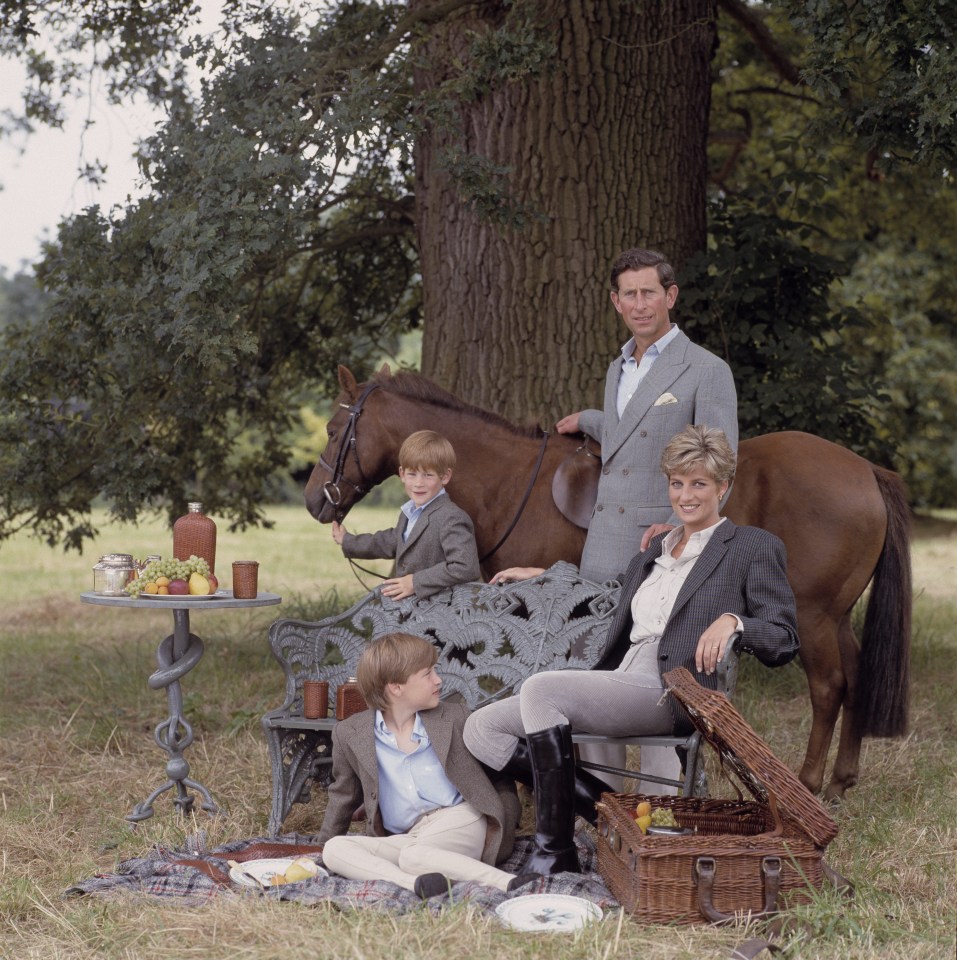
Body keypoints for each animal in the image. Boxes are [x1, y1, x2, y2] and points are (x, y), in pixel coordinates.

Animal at [308, 364, 912, 800]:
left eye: (336, 431)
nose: (316, 500)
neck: (510, 482)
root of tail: (865, 470)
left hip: (810, 616)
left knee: (829, 687)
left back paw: (809, 782)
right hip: (836, 617)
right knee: (856, 674)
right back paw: (841, 780)